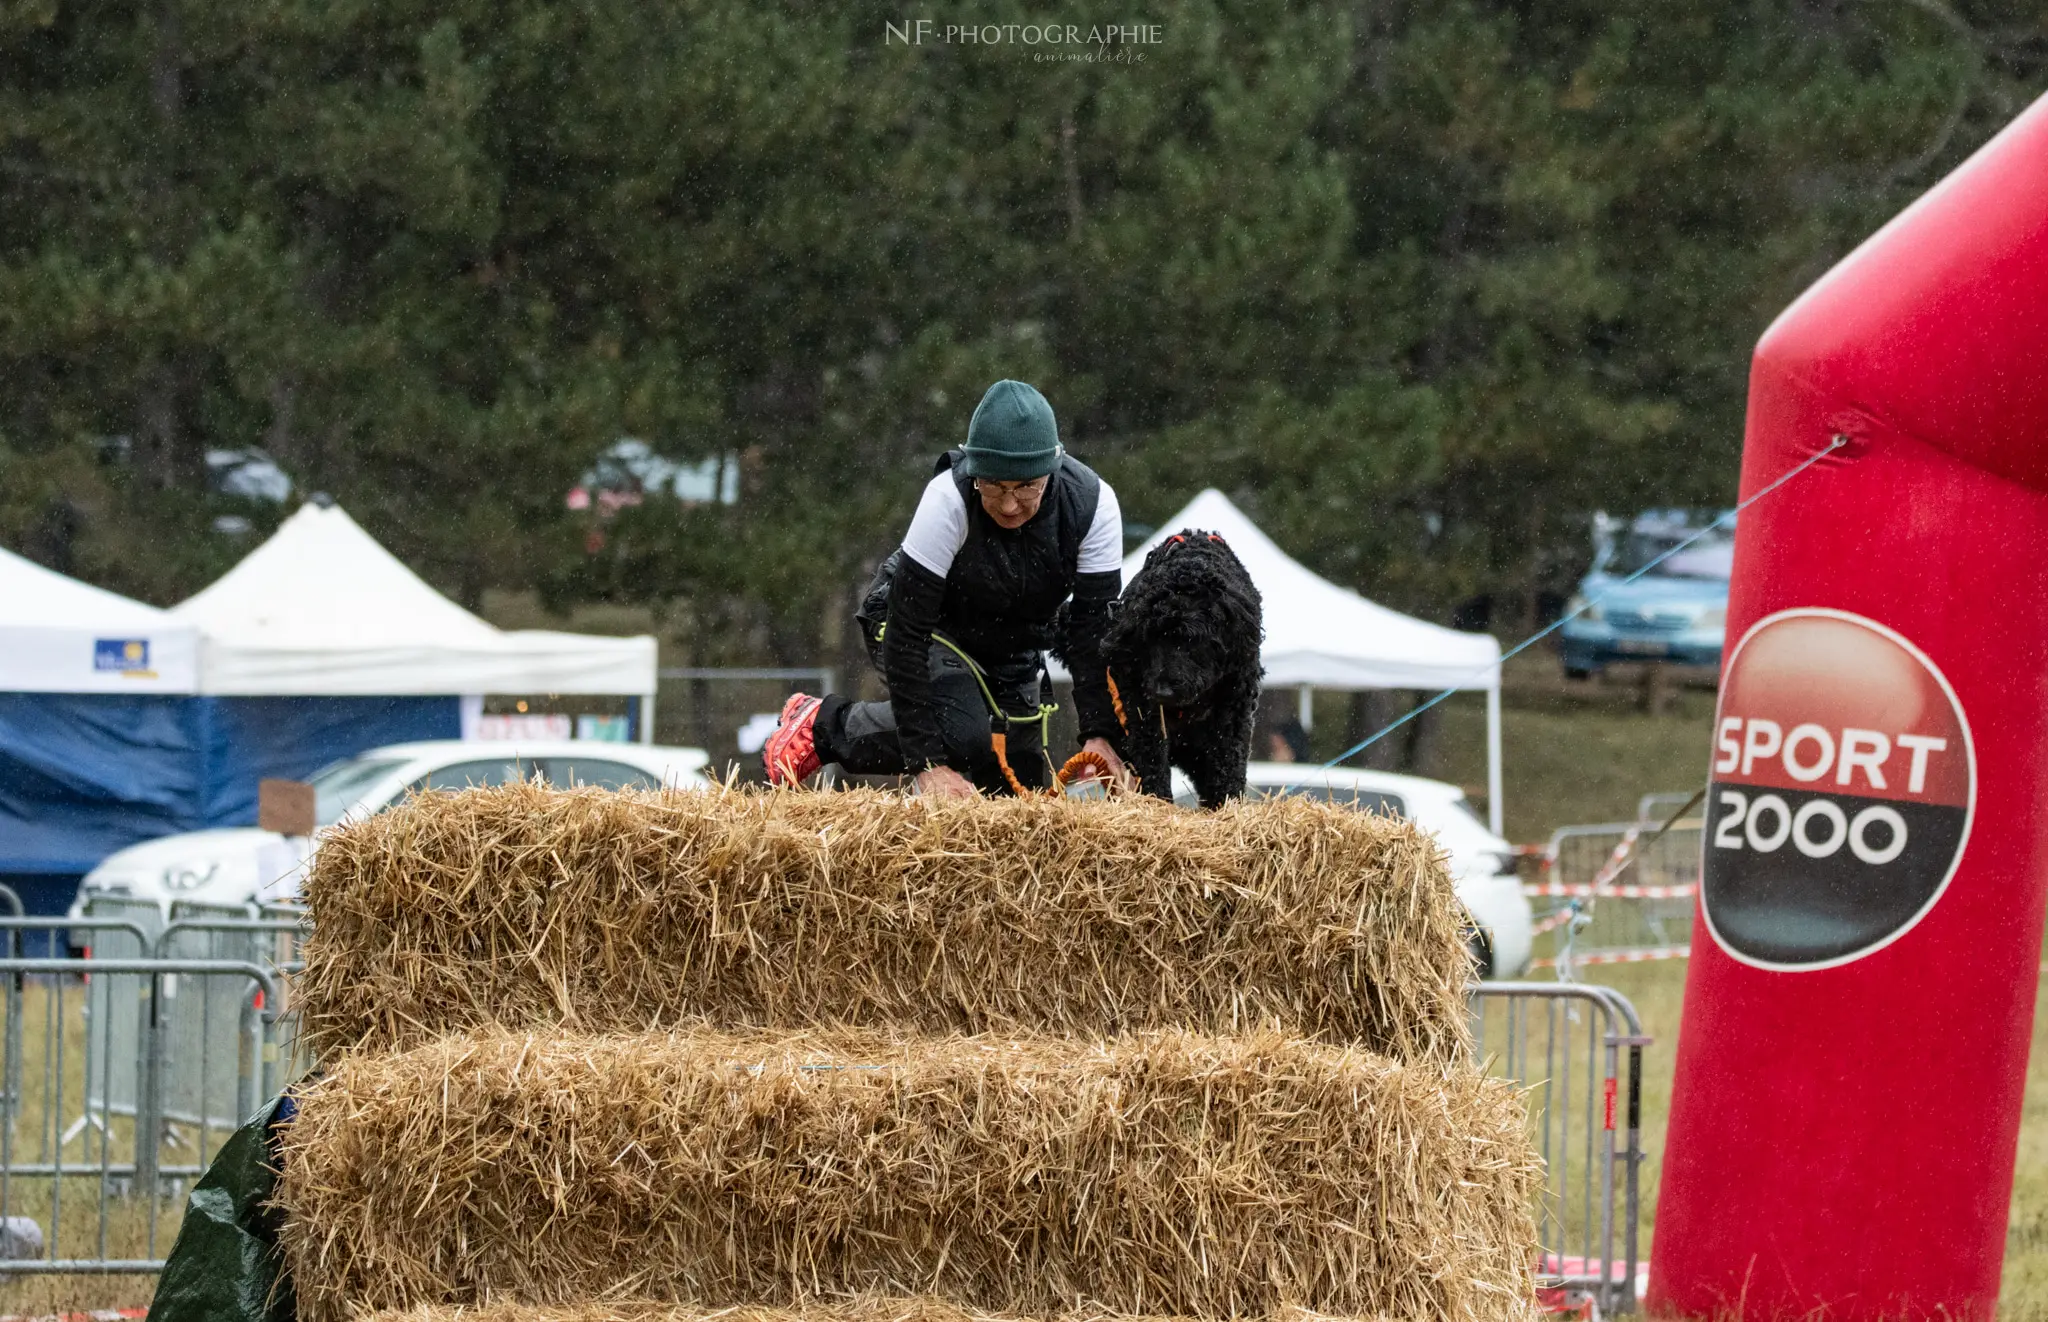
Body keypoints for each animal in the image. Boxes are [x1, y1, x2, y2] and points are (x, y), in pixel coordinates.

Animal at [1056, 527, 1261, 806]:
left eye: (1191, 639)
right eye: (1150, 639)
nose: (1163, 691)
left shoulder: (1234, 703)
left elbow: (1229, 760)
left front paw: (1228, 803)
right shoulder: (1141, 706)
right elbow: (1152, 758)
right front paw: (1158, 801)